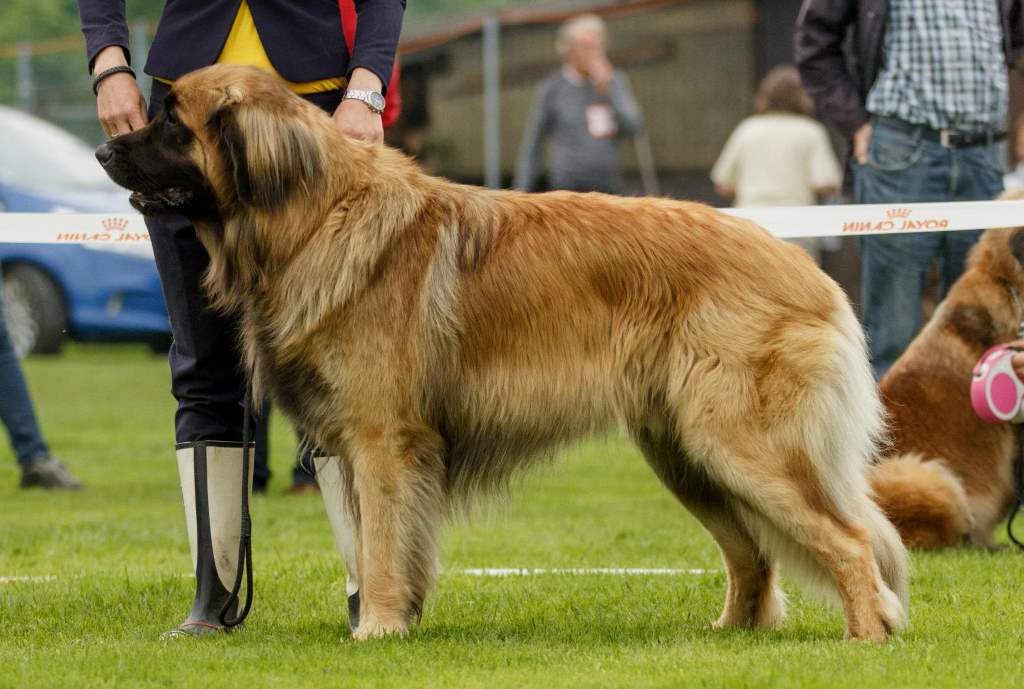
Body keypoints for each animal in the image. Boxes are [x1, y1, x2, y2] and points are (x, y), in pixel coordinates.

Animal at [97, 63, 905, 638]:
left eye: (171, 121)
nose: (105, 144)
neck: (313, 215)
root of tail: (803, 264)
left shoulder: (383, 440)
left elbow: (382, 542)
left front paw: (378, 627)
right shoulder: (360, 444)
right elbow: (377, 541)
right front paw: (394, 618)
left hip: (736, 443)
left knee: (848, 540)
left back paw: (864, 637)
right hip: (686, 452)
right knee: (754, 550)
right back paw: (729, 633)